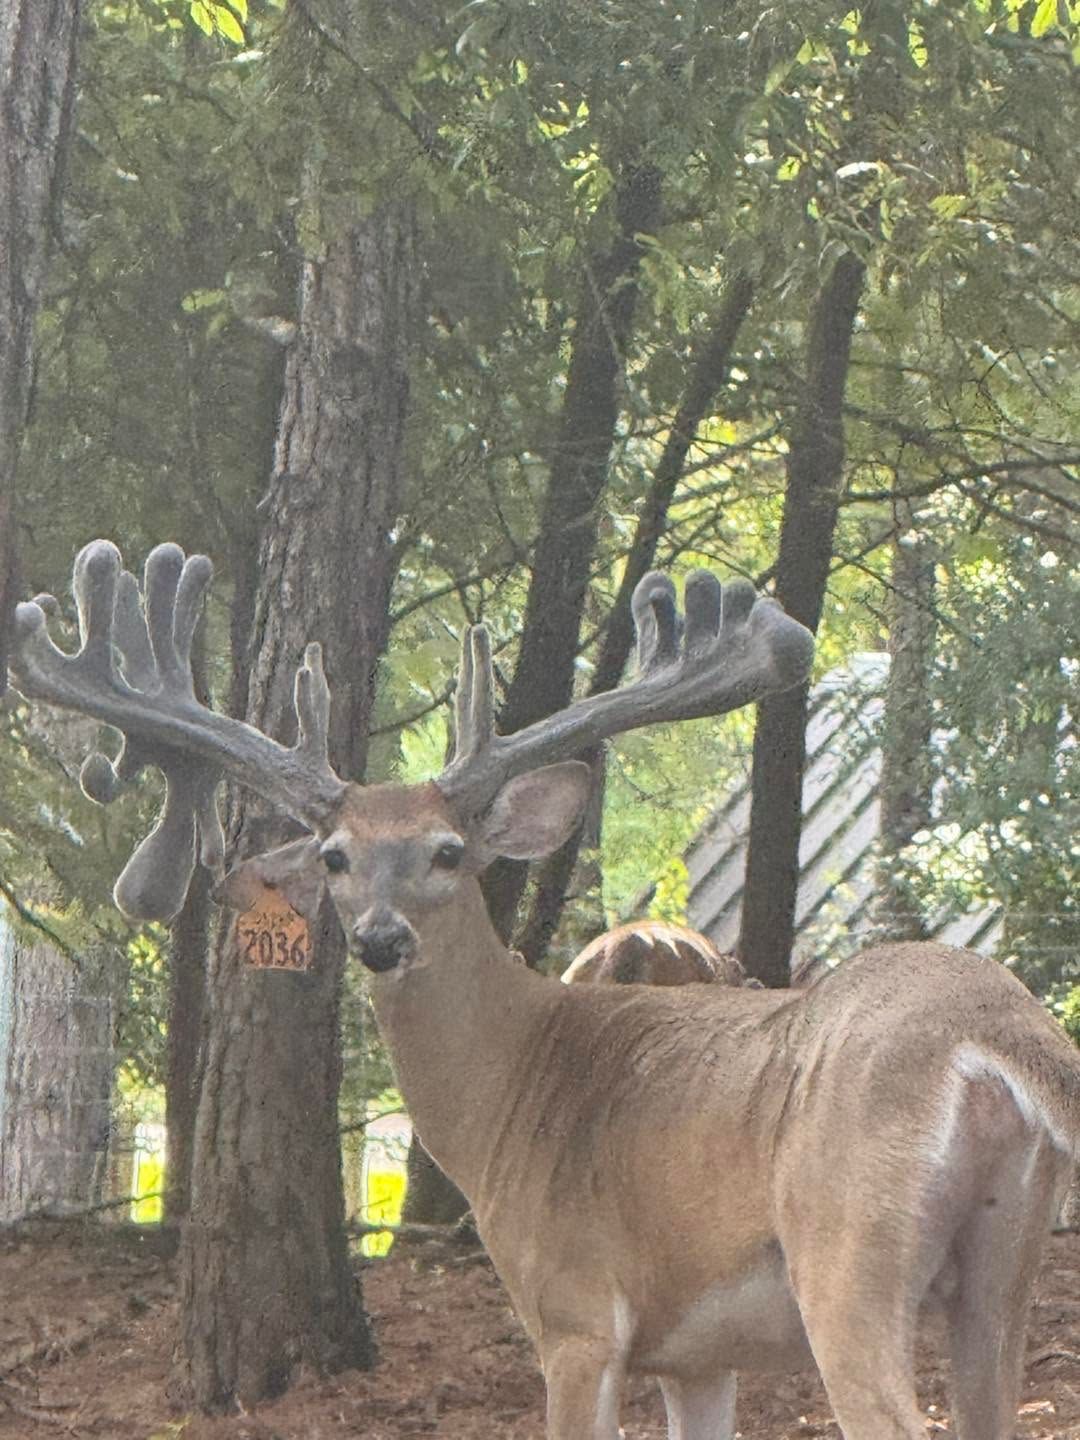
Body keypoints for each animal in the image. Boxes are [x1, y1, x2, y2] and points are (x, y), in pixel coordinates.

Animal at [11, 538, 1080, 1440]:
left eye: (448, 852)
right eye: (336, 856)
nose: (382, 939)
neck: (508, 1091)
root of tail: (1002, 1031)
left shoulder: (575, 1313)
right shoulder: (698, 1356)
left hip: (848, 1249)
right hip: (1005, 1266)